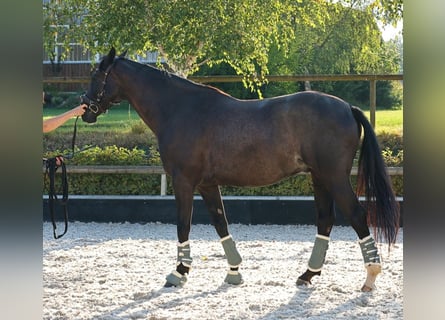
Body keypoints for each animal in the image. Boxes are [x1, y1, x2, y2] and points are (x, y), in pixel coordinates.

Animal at [80, 48, 398, 292]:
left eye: (96, 76)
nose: (84, 108)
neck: (181, 109)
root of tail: (347, 108)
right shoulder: (207, 184)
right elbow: (221, 223)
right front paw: (233, 272)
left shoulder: (183, 181)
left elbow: (183, 225)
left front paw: (179, 273)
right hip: (320, 178)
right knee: (325, 220)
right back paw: (308, 274)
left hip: (334, 177)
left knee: (356, 215)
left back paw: (370, 277)